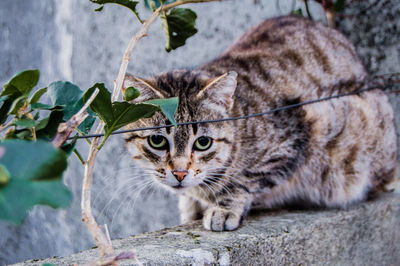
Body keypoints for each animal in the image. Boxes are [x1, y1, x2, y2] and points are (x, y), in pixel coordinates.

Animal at [124, 16, 396, 231]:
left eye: (203, 143)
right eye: (157, 141)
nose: (180, 173)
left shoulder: (297, 132)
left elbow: (246, 179)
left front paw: (224, 209)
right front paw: (191, 208)